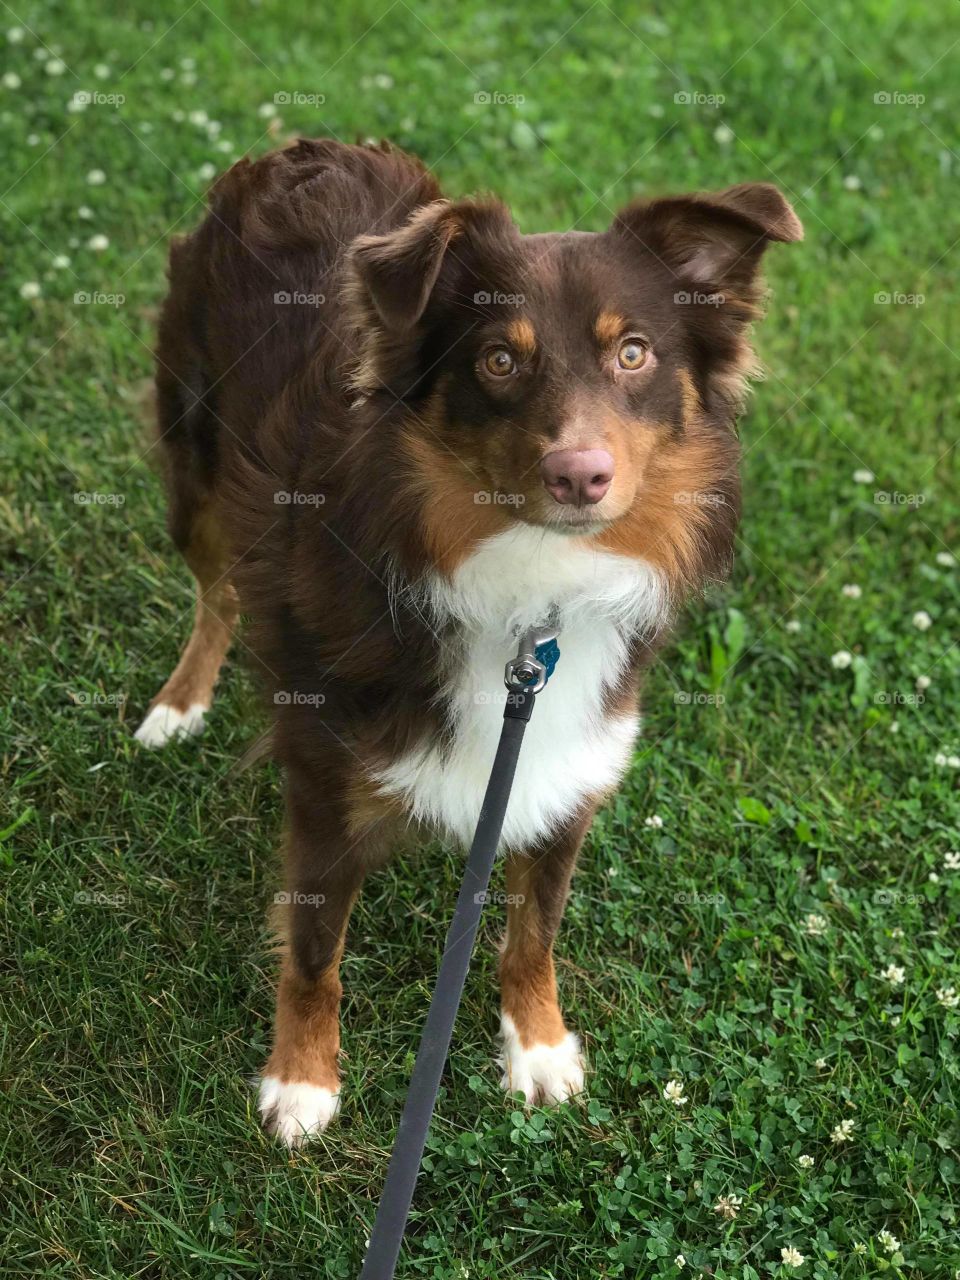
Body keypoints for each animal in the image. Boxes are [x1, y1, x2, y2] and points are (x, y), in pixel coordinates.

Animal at [135, 137, 803, 1141]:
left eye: (634, 352)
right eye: (497, 361)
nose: (579, 476)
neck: (532, 591)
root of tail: (304, 149)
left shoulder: (567, 764)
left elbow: (535, 932)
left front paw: (539, 1045)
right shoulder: (324, 783)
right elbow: (314, 952)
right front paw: (303, 1080)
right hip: (197, 461)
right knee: (217, 592)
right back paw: (180, 704)